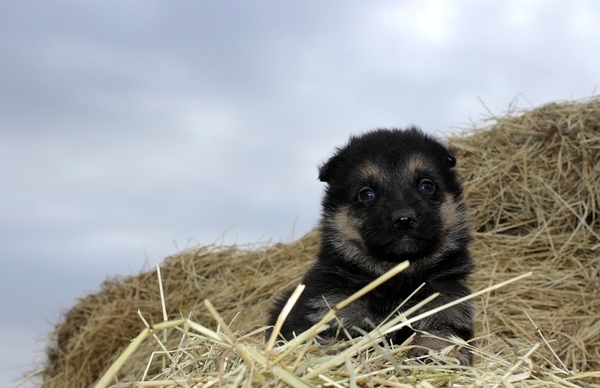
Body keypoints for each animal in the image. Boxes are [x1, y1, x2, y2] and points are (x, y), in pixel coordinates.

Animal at [270, 127, 474, 364]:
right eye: (366, 194)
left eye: (427, 186)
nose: (404, 219)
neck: (396, 277)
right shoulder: (338, 309)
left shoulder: (445, 304)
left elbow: (439, 336)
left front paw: (435, 355)